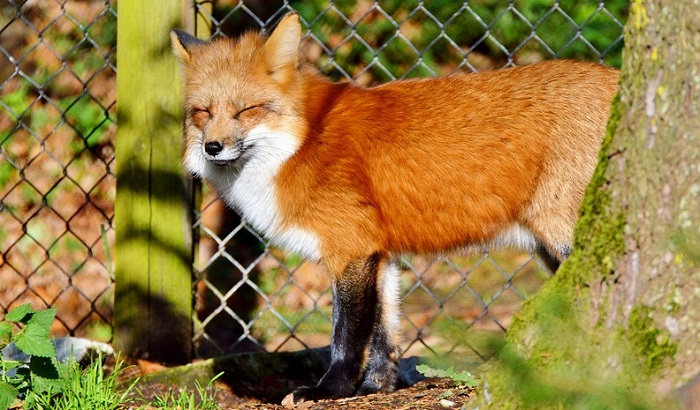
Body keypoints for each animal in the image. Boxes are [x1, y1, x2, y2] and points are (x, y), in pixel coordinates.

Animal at [170, 12, 616, 404]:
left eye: (246, 110)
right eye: (203, 112)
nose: (213, 147)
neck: (304, 142)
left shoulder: (350, 250)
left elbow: (346, 336)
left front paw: (330, 391)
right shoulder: (379, 255)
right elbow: (384, 334)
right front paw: (376, 388)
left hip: (564, 237)